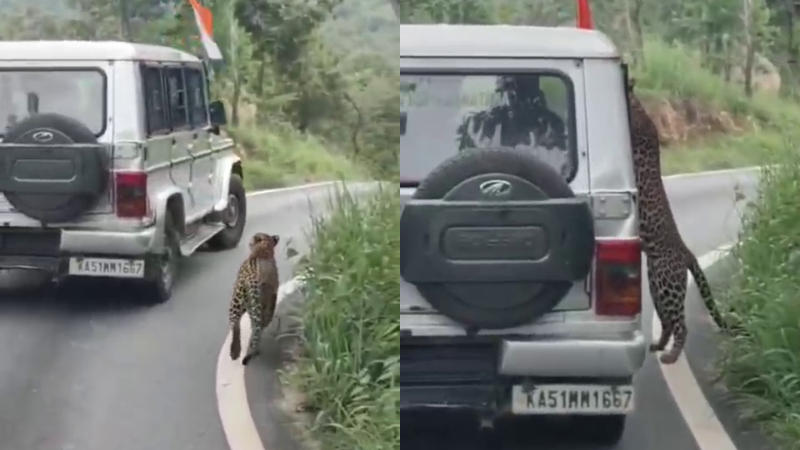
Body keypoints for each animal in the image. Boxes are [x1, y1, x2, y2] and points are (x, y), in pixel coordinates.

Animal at [228, 232, 281, 365]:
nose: (250, 240)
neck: (263, 249)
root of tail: (254, 277)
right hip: (259, 305)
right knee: (258, 325)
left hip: (238, 300)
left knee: (235, 324)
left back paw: (235, 350)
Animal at [627, 78, 729, 365]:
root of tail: (686, 252)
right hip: (655, 284)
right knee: (668, 322)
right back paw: (659, 346)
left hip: (667, 283)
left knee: (681, 324)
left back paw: (671, 356)